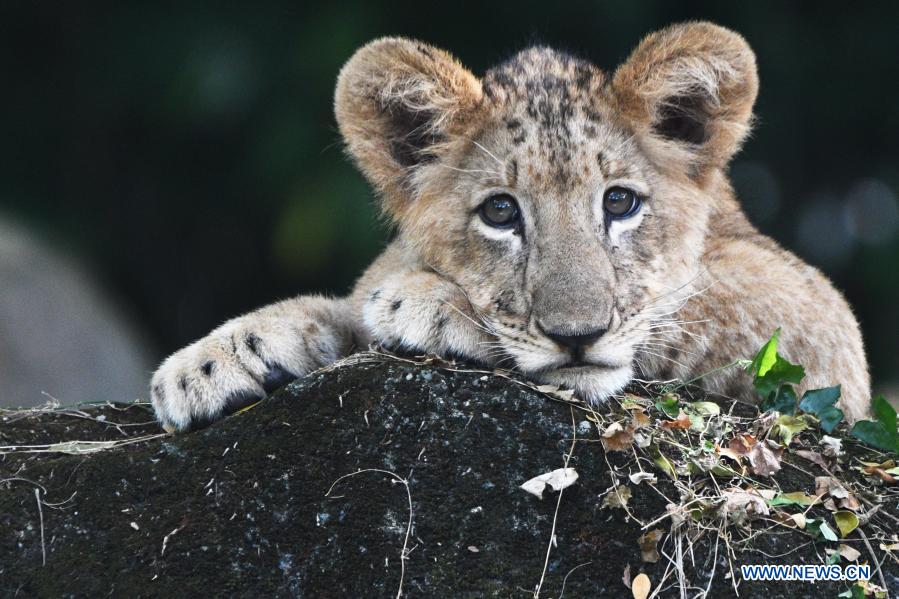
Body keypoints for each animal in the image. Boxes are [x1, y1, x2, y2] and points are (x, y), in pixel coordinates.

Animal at [150, 22, 870, 432]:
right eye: (500, 212)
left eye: (619, 203)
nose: (577, 337)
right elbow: (329, 306)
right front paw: (203, 366)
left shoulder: (820, 328)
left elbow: (690, 304)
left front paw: (426, 305)